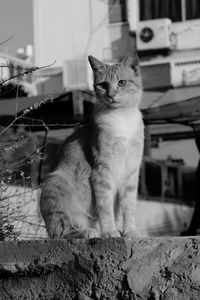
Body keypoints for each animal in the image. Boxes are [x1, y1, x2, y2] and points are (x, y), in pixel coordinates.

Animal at [39, 51, 144, 239]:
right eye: (103, 85)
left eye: (122, 82)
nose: (111, 95)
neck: (122, 119)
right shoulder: (102, 170)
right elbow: (105, 207)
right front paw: (110, 231)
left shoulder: (131, 172)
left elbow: (129, 206)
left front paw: (130, 231)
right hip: (55, 183)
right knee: (62, 230)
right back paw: (88, 231)